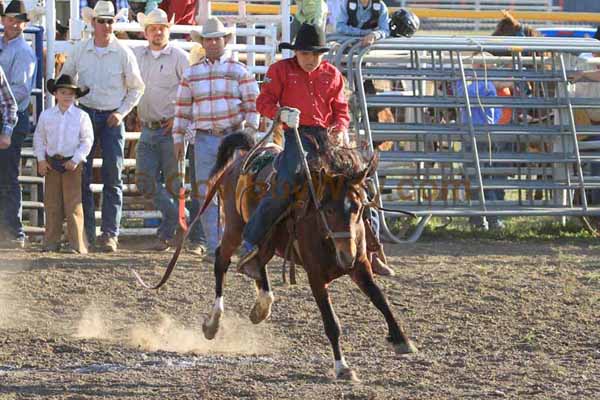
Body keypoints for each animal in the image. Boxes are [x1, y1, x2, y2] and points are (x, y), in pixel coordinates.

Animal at [202, 132, 418, 382]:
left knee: (259, 263)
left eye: (357, 207)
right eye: (329, 210)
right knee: (221, 261)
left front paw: (402, 340)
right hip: (234, 228)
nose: (346, 256)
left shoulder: (361, 265)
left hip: (265, 241)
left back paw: (261, 306)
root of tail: (243, 158)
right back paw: (213, 322)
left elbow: (380, 298)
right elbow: (331, 323)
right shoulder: (315, 276)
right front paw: (342, 367)